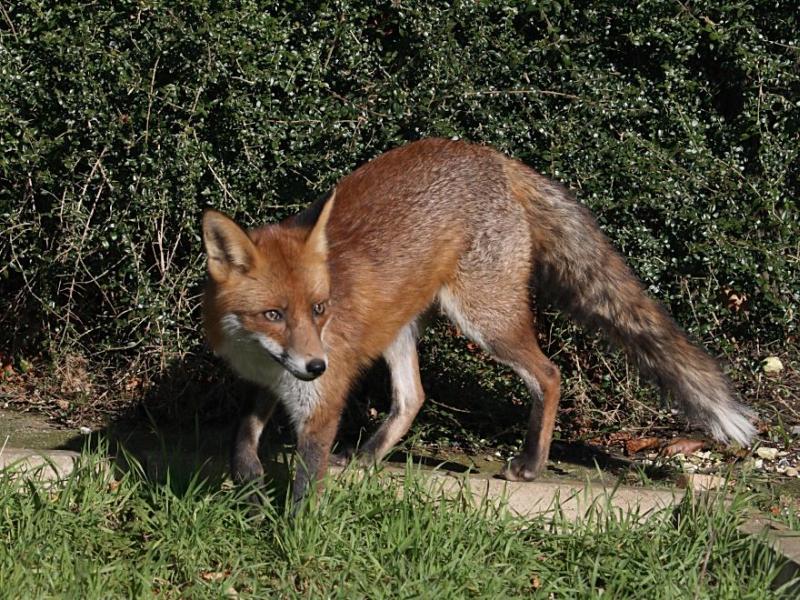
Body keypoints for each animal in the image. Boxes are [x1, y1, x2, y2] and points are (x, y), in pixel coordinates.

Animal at [202, 137, 756, 502]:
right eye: (273, 314)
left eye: (320, 308)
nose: (317, 365)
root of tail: (489, 154)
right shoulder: (271, 377)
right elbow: (244, 427)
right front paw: (246, 475)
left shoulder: (321, 403)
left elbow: (304, 487)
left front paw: (296, 541)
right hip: (401, 326)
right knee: (413, 397)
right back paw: (367, 456)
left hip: (485, 321)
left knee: (549, 374)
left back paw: (530, 465)